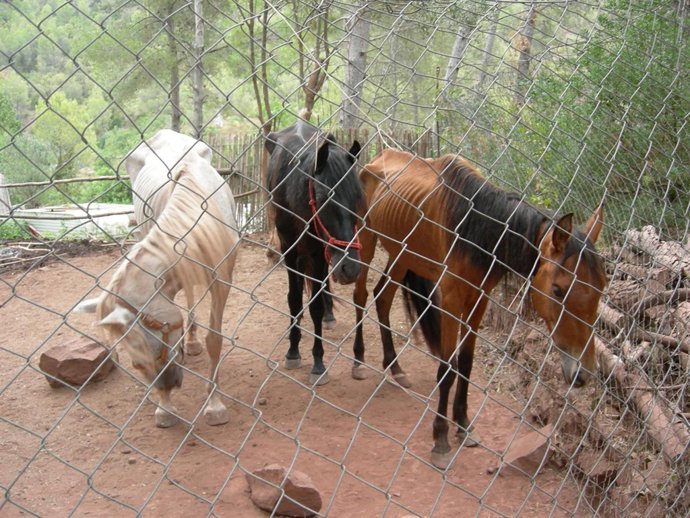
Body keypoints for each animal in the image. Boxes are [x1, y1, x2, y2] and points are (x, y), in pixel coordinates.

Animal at [75, 129, 240, 428]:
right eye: (137, 364)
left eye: (152, 351)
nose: (169, 385)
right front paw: (165, 409)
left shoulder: (222, 279)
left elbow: (215, 340)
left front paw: (215, 405)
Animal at [265, 120, 365, 385]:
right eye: (323, 199)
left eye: (358, 198)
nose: (351, 268)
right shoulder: (289, 249)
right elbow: (293, 298)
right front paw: (293, 351)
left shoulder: (320, 252)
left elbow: (317, 306)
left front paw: (318, 364)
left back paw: (329, 315)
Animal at [351, 148, 607, 469]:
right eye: (558, 290)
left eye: (602, 288)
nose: (583, 373)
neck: (475, 228)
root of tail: (379, 157)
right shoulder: (450, 299)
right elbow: (447, 368)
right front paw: (441, 439)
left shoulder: (479, 299)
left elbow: (466, 363)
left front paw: (463, 424)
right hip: (366, 240)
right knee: (360, 296)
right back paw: (358, 361)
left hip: (402, 255)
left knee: (382, 298)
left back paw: (395, 367)